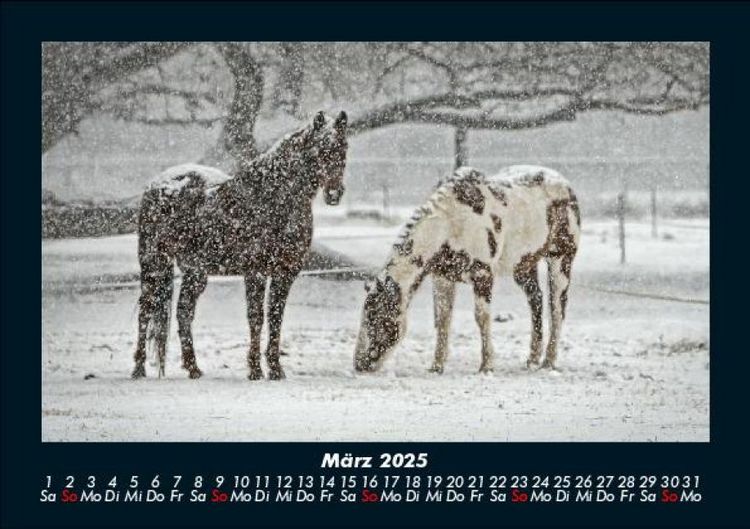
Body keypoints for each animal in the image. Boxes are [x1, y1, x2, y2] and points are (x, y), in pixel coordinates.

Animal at [132, 110, 349, 380]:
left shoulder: (285, 273)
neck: (274, 199)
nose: (334, 193)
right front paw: (255, 369)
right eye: (319, 149)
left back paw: (193, 368)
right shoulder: (255, 271)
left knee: (183, 312)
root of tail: (157, 185)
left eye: (344, 147)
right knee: (146, 309)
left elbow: (276, 317)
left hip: (195, 272)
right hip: (154, 263)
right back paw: (139, 368)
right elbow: (256, 318)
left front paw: (276, 369)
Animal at [354, 165, 580, 374]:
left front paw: (487, 366)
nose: (359, 364)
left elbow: (481, 318)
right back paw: (532, 359)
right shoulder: (443, 278)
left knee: (557, 308)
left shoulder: (482, 275)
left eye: (377, 317)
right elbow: (443, 319)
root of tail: (565, 184)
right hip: (524, 266)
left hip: (560, 260)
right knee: (536, 301)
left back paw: (549, 361)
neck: (451, 224)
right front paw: (437, 366)